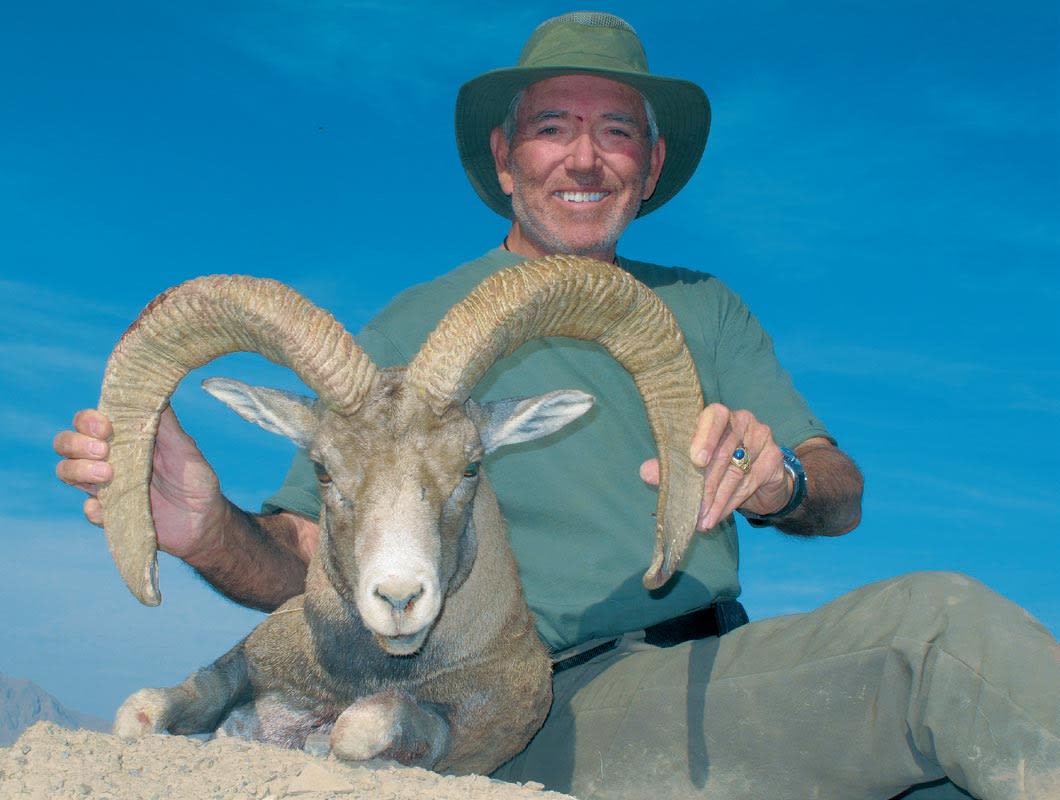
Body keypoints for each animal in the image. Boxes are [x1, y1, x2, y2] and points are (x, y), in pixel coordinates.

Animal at [96, 254, 706, 775]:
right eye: (322, 469)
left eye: (470, 467)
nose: (399, 599)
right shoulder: (240, 664)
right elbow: (146, 709)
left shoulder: (457, 731)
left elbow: (364, 725)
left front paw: (313, 741)